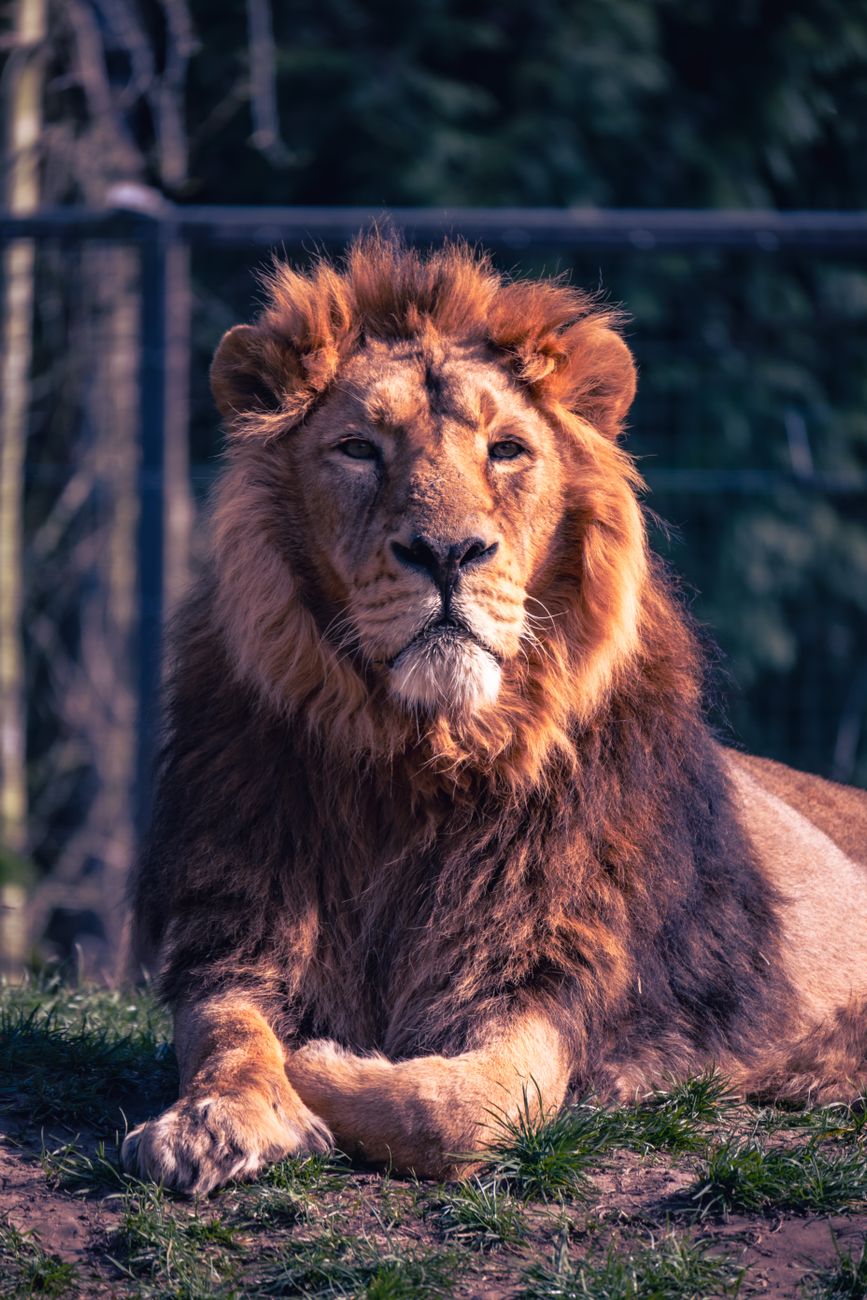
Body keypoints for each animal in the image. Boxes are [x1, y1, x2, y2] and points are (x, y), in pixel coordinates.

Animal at [122, 235, 867, 1196]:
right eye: (357, 448)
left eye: (507, 450)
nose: (447, 553)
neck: (418, 759)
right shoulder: (238, 927)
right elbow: (226, 1031)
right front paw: (216, 1118)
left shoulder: (549, 975)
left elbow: (459, 1107)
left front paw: (320, 1062)